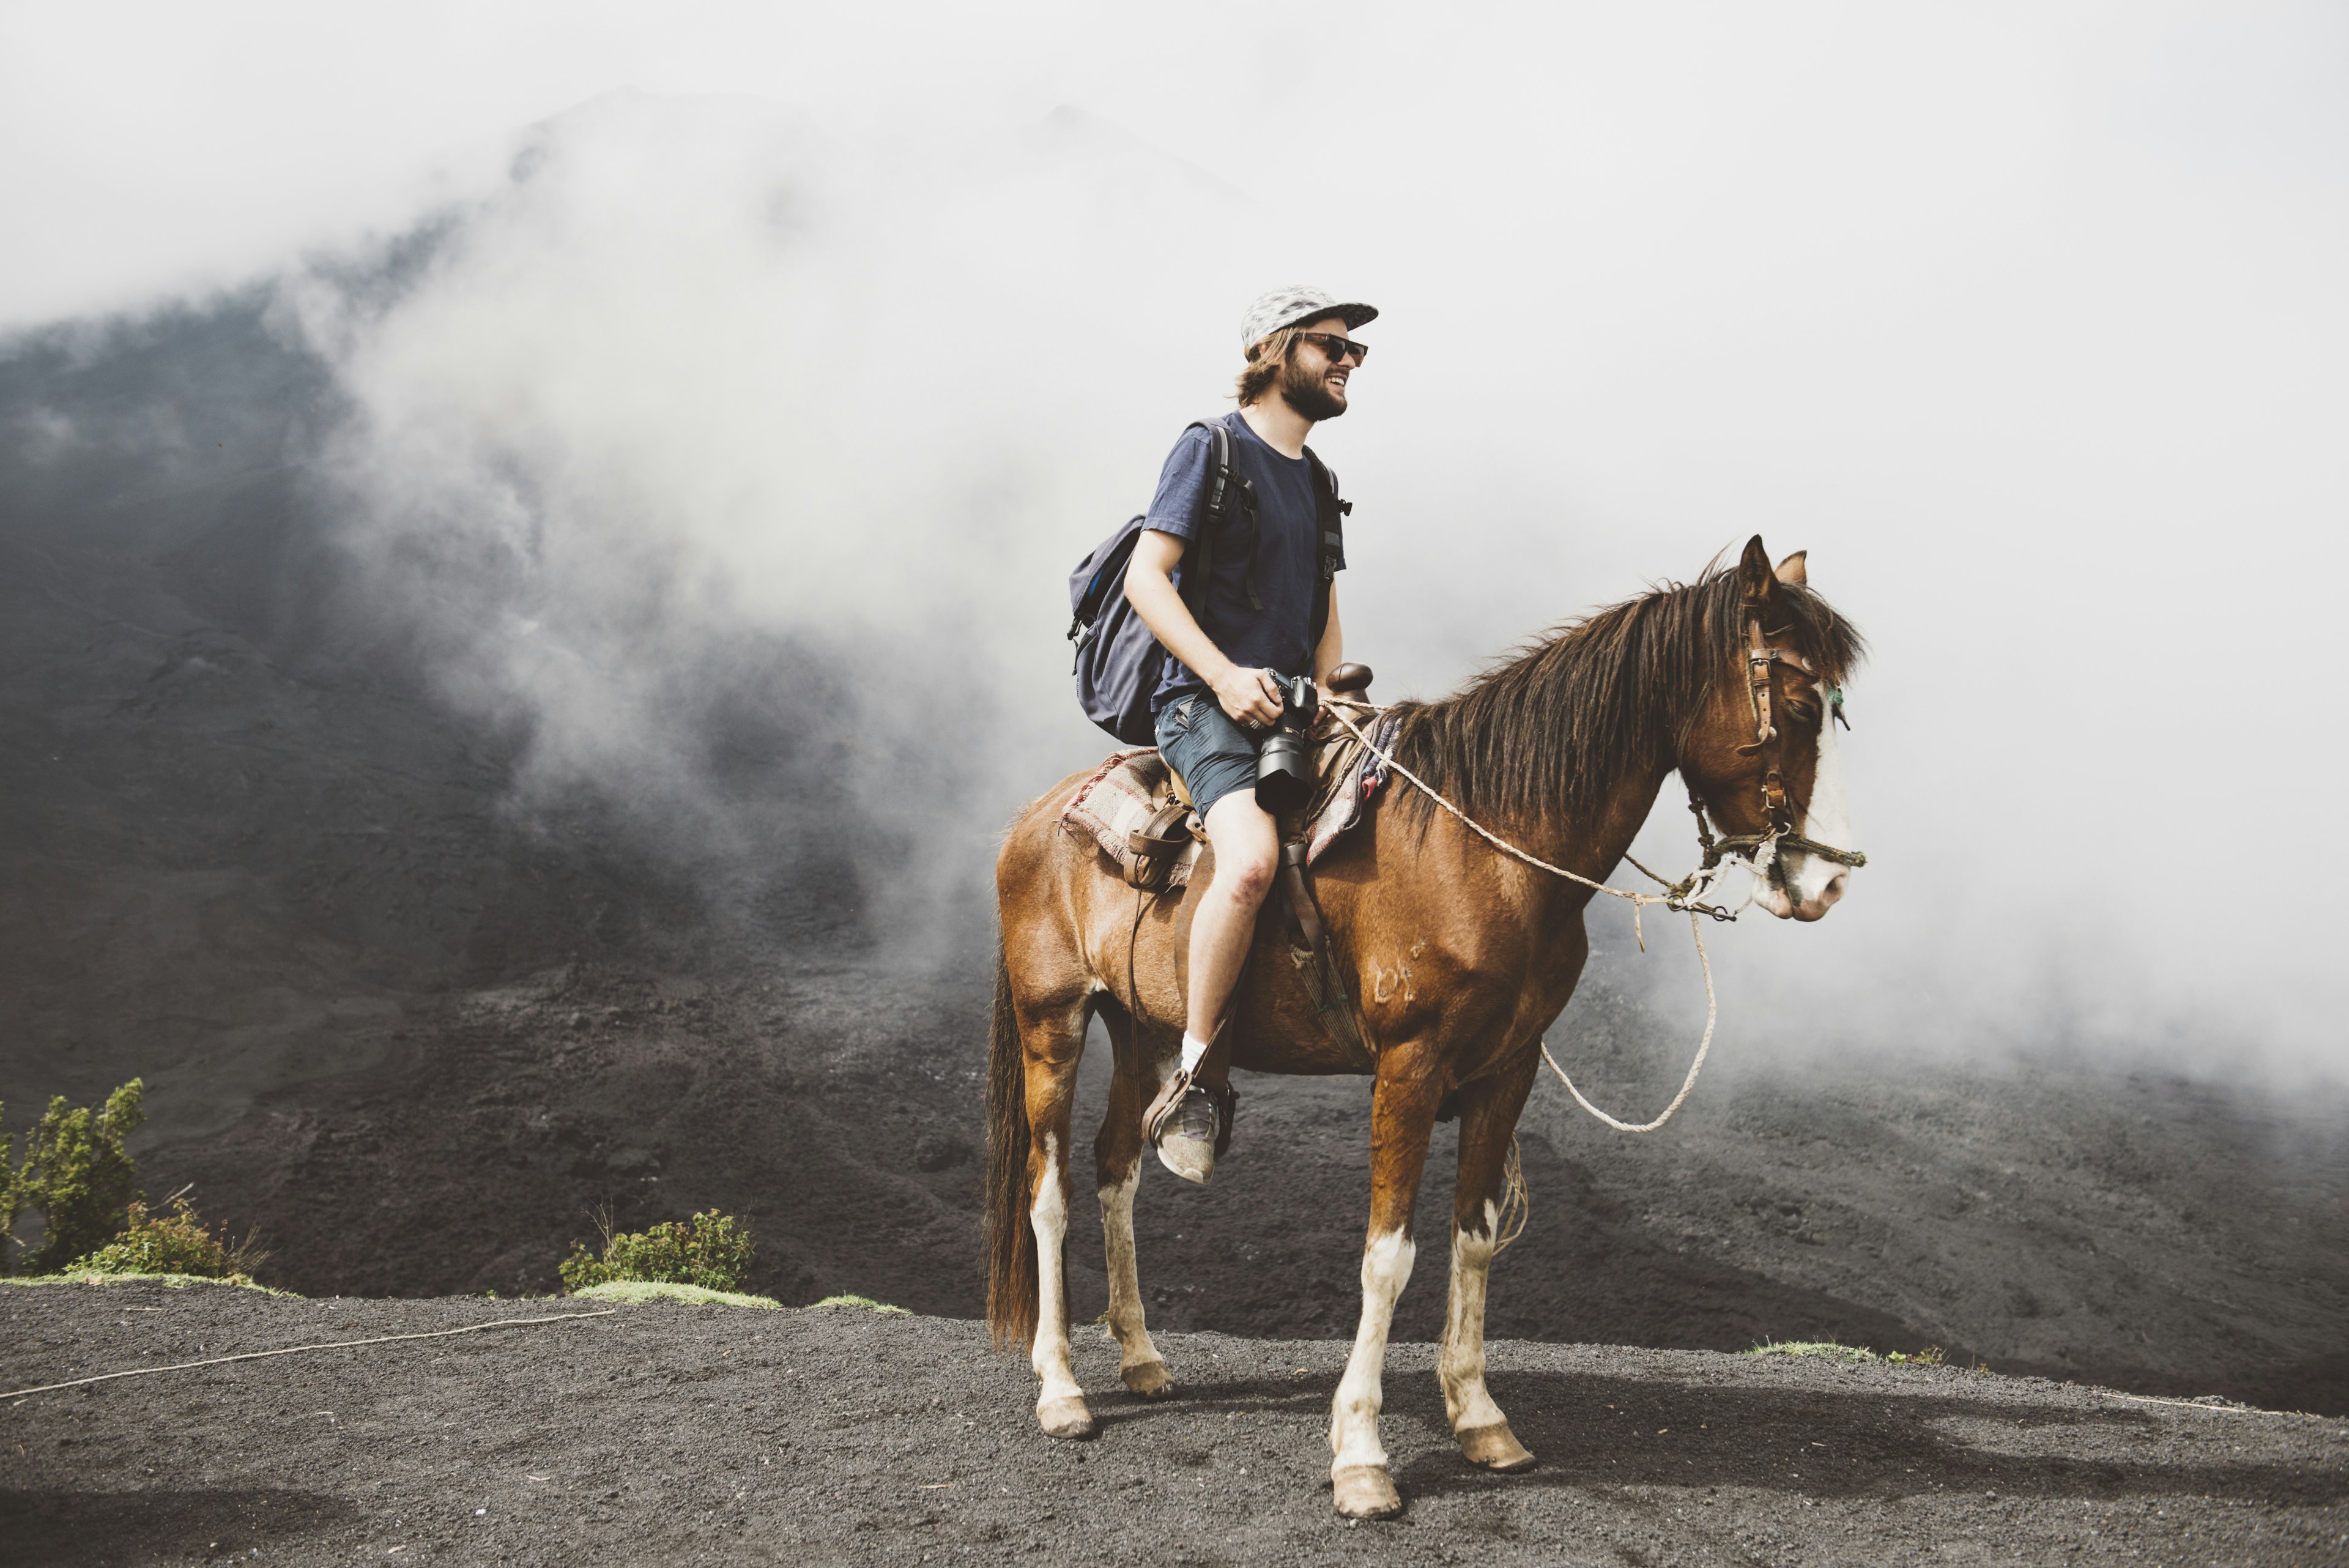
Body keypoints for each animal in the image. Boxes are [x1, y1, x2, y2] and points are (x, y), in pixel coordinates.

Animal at [982, 536, 1860, 1523]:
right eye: (1797, 706)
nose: (1825, 880)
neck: (1481, 847)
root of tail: (1033, 818)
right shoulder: (1410, 1068)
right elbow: (1388, 1256)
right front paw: (1362, 1455)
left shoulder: (1505, 1071)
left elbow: (1472, 1237)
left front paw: (1480, 1418)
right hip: (1052, 1021)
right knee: (1049, 1189)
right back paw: (1061, 1387)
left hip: (1139, 1027)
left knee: (1116, 1168)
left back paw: (1140, 1356)